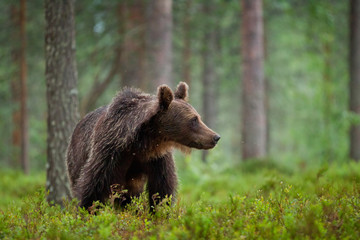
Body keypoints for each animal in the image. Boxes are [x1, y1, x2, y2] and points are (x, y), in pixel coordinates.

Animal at [66, 82, 221, 210]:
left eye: (198, 117)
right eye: (194, 119)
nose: (215, 137)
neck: (141, 144)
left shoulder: (156, 158)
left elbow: (162, 188)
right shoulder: (110, 152)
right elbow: (93, 186)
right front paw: (87, 210)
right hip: (76, 157)